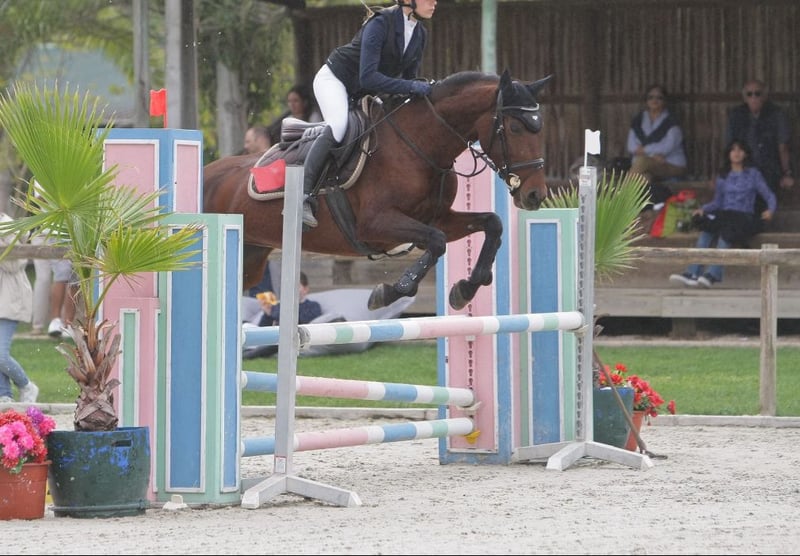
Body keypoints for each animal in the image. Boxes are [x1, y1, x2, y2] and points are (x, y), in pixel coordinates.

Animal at [203, 69, 552, 312]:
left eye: (540, 129)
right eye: (515, 128)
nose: (535, 195)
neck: (420, 146)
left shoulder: (438, 218)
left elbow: (492, 223)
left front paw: (466, 288)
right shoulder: (376, 224)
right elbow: (436, 243)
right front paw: (390, 292)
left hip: (251, 259)